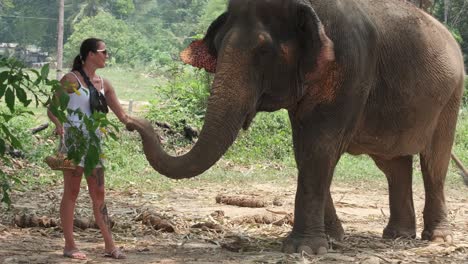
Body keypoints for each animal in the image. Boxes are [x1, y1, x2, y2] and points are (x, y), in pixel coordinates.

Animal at [127, 0, 464, 256]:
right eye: (219, 48)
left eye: (263, 52)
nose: (131, 122)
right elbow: (304, 149)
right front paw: (332, 238)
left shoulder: (351, 66)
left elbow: (320, 146)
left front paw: (305, 249)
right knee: (394, 164)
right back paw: (397, 235)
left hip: (451, 97)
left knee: (434, 163)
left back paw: (437, 238)